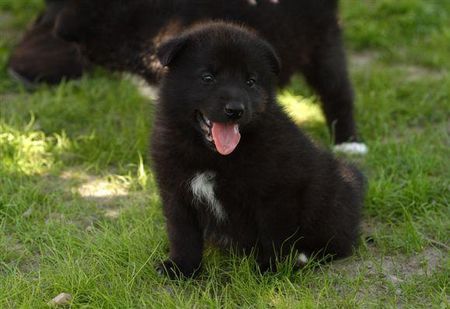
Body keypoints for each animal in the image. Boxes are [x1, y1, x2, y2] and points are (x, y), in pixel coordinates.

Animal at [151, 22, 366, 278]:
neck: (212, 156)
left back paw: (305, 256)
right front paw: (181, 268)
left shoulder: (276, 193)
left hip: (329, 199)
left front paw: (271, 269)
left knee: (339, 242)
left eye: (250, 81)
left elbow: (274, 235)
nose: (235, 110)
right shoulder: (176, 191)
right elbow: (182, 233)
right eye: (207, 77)